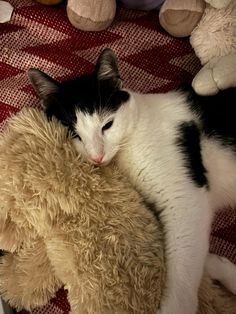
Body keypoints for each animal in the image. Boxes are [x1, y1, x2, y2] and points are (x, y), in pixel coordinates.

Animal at [28, 47, 236, 312]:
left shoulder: (185, 200)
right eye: (74, 133)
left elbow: (182, 270)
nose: (97, 156)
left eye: (107, 125)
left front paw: (174, 306)